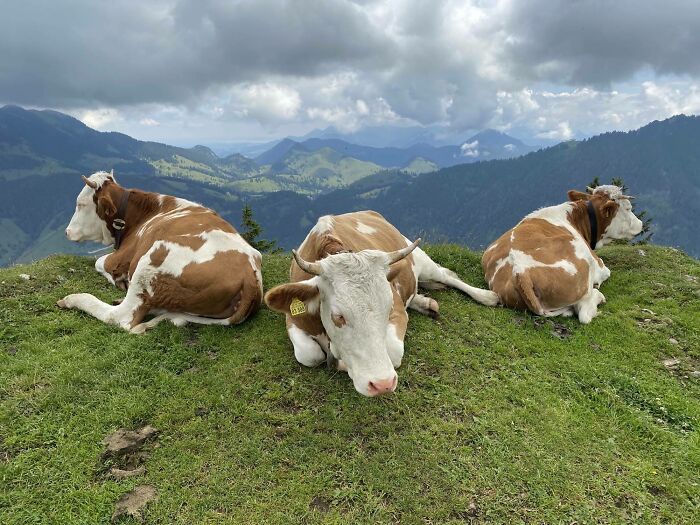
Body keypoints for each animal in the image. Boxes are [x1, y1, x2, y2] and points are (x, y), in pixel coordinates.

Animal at [58, 171, 262, 332]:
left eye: (81, 204)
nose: (66, 231)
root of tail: (250, 278)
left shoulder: (122, 256)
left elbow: (98, 262)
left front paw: (117, 279)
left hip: (149, 263)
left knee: (120, 316)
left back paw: (72, 299)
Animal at [262, 211, 498, 396]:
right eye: (339, 316)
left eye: (388, 309)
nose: (382, 384)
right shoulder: (293, 319)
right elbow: (309, 354)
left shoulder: (399, 313)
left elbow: (392, 349)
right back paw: (425, 302)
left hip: (420, 258)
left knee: (448, 275)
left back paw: (487, 296)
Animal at [484, 184, 644, 324]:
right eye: (628, 208)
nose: (641, 223)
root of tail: (520, 272)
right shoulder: (600, 265)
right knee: (584, 313)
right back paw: (598, 296)